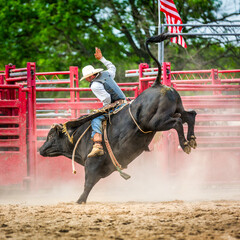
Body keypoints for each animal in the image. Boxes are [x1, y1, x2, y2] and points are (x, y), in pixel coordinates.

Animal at [39, 32, 197, 203]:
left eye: (50, 136)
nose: (40, 149)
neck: (78, 135)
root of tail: (156, 84)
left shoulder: (92, 164)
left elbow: (88, 183)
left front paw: (80, 200)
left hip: (156, 122)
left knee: (178, 122)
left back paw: (184, 144)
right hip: (178, 109)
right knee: (190, 116)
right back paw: (192, 139)